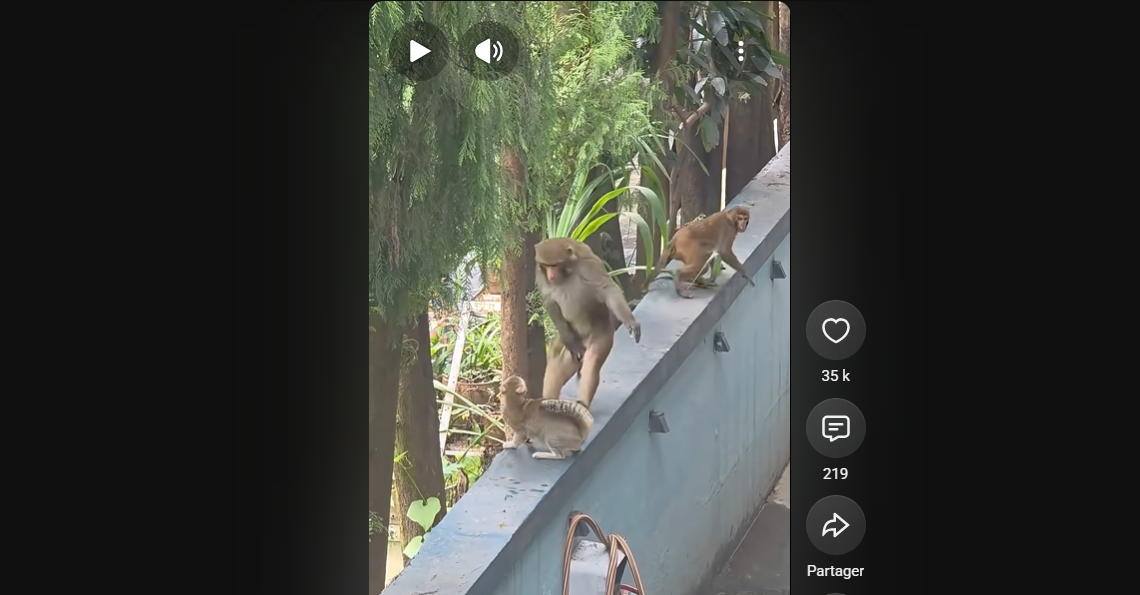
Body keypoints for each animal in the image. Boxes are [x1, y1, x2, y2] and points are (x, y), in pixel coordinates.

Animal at [535, 237, 641, 408]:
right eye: (546, 265)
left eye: (555, 265)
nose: (551, 275)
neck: (567, 271)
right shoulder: (539, 274)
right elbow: (549, 302)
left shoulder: (588, 265)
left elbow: (607, 288)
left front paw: (629, 321)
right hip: (571, 338)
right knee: (557, 358)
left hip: (601, 333)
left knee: (592, 360)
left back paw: (582, 404)